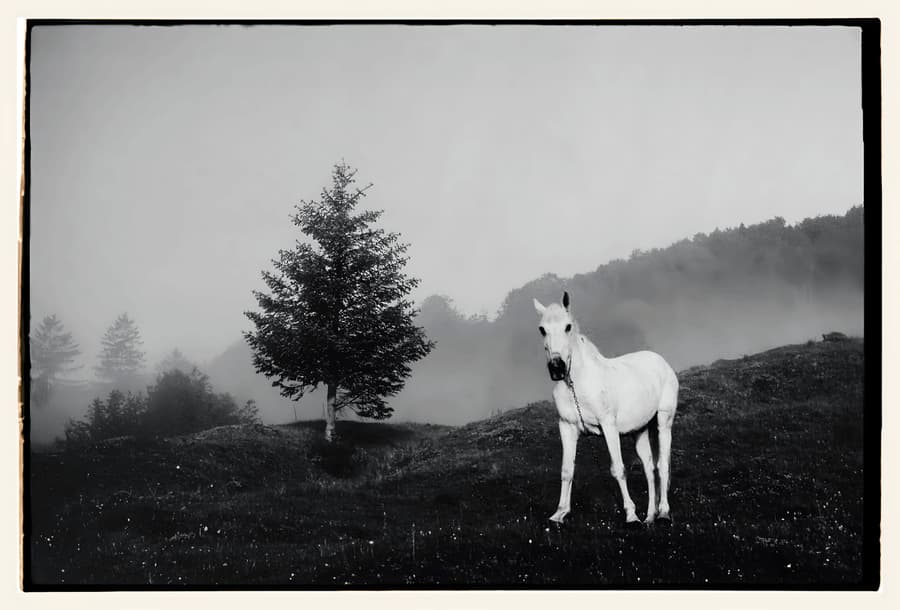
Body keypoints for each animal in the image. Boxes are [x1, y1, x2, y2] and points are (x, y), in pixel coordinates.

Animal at [533, 291, 679, 526]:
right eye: (542, 329)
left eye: (568, 326)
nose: (557, 368)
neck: (577, 385)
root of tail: (661, 361)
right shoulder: (566, 427)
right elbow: (567, 470)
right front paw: (559, 513)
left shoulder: (609, 426)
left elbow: (618, 469)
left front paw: (631, 515)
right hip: (640, 431)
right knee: (650, 468)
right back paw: (650, 517)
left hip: (664, 422)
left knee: (663, 464)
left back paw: (663, 512)